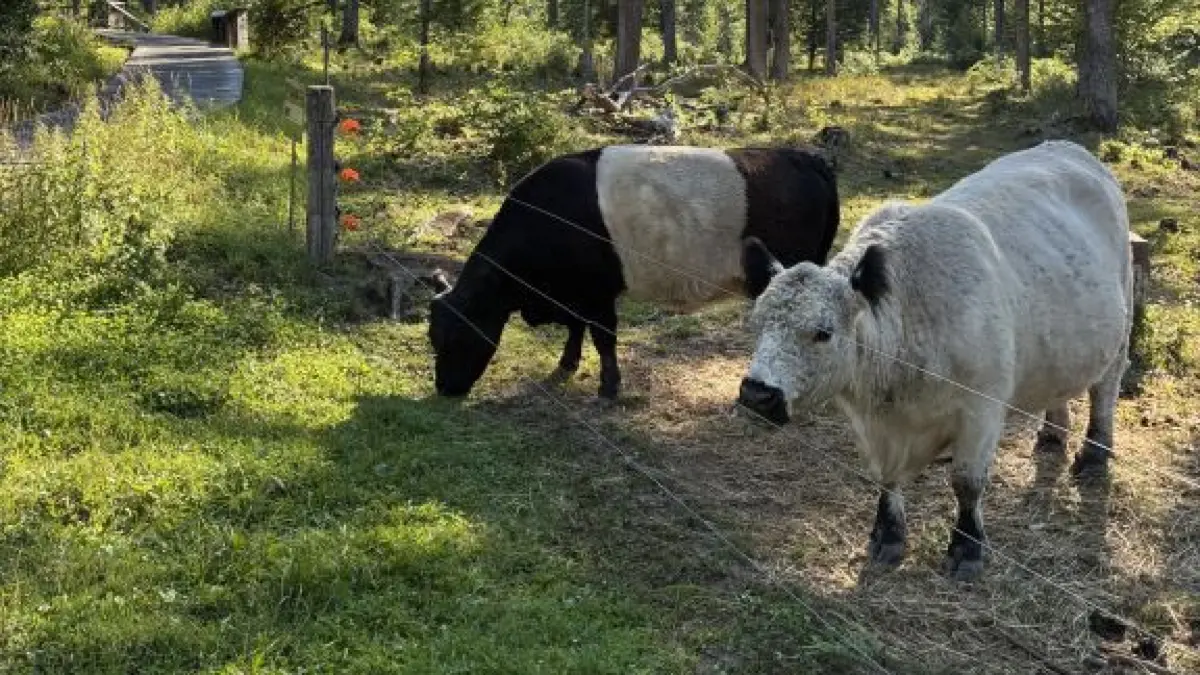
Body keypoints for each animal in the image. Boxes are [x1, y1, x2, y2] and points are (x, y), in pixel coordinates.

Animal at [427, 144, 840, 400]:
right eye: (433, 337)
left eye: (454, 337)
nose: (444, 388)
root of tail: (808, 158)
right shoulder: (574, 293)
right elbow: (575, 328)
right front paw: (566, 365)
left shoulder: (596, 293)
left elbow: (603, 337)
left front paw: (609, 387)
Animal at [735, 140, 1133, 580]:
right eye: (757, 324)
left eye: (823, 332)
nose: (757, 394)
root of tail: (1070, 148)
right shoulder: (878, 426)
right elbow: (887, 477)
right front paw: (887, 534)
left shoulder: (982, 409)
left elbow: (967, 482)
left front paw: (967, 547)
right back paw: (1051, 433)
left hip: (1121, 329)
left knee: (1105, 392)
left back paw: (1095, 455)